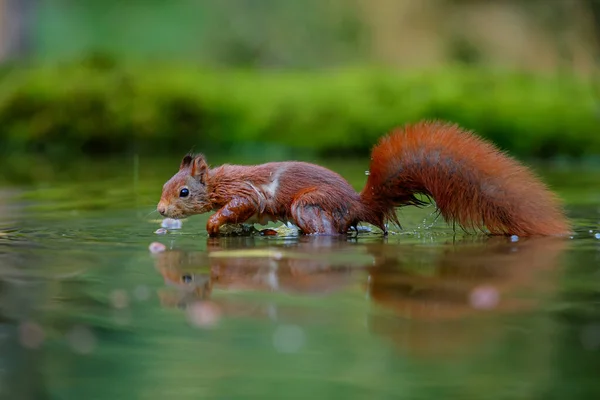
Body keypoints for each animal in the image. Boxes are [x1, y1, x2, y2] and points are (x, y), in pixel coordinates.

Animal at [157, 120, 568, 236]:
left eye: (183, 191)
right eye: (164, 187)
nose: (160, 211)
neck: (217, 183)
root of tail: (359, 203)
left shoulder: (244, 192)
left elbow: (239, 206)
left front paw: (213, 223)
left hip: (309, 205)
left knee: (327, 232)